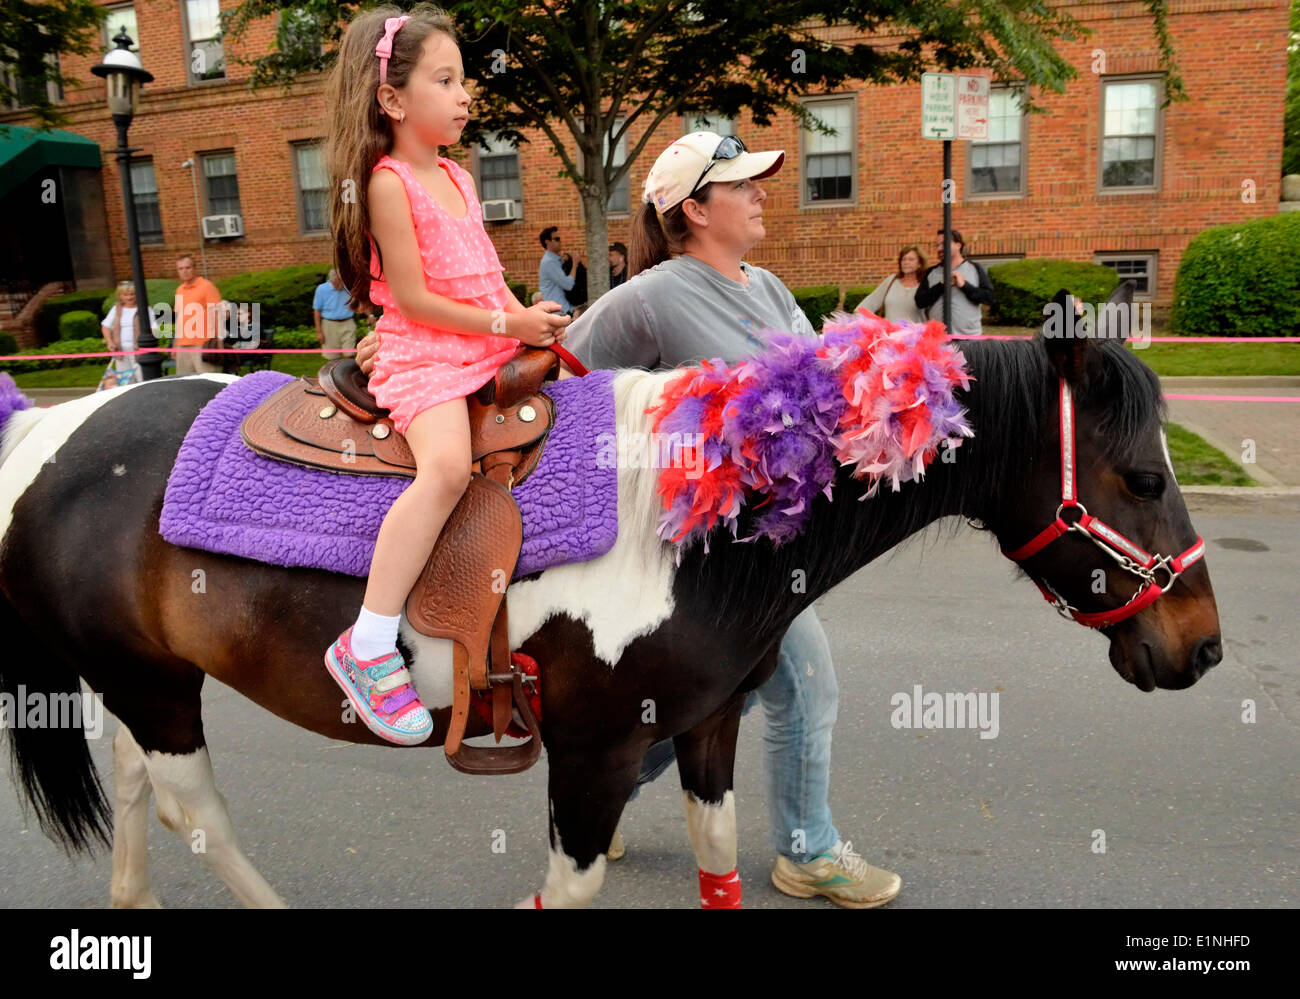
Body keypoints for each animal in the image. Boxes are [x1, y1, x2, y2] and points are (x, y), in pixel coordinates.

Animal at [0, 317, 1216, 905]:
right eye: (1141, 479)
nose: (1201, 646)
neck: (699, 516)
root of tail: (48, 430)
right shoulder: (589, 751)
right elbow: (572, 884)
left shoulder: (707, 725)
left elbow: (720, 853)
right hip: (154, 686)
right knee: (191, 808)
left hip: (143, 679)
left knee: (137, 790)